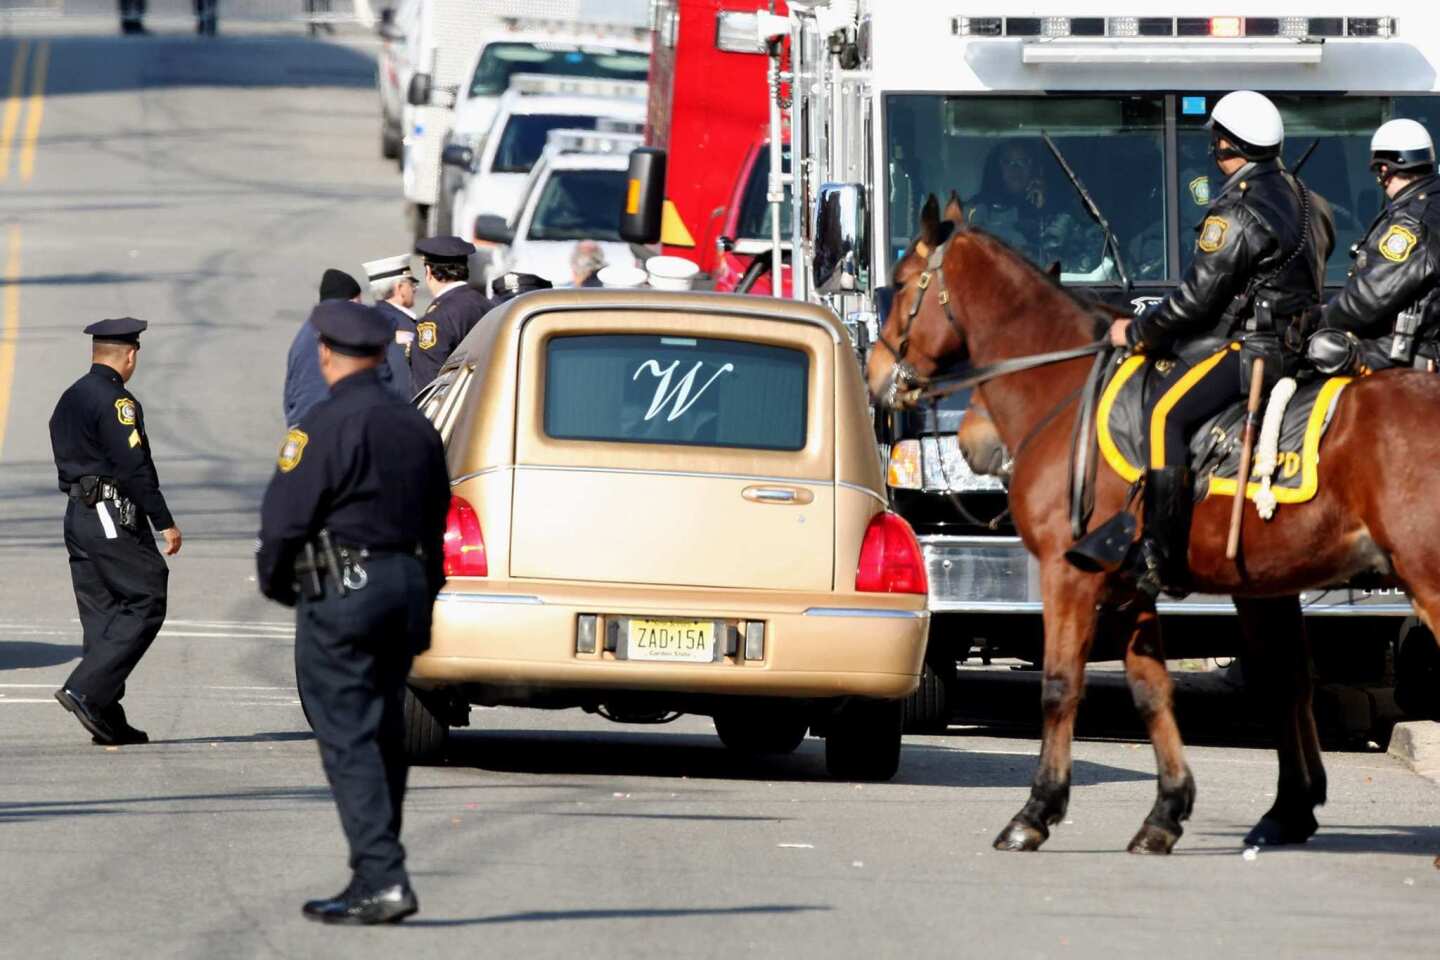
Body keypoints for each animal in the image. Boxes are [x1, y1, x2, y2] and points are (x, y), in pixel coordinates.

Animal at [864, 195, 1440, 857]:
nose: (876, 376)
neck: (1063, 392)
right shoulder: (1128, 586)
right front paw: (1166, 813)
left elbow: (1059, 686)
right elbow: (1152, 690)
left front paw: (1035, 813)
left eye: (904, 281)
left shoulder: (1069, 574)